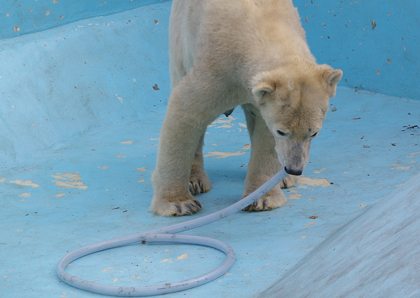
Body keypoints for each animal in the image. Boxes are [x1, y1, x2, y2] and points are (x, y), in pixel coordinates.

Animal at [151, 0, 342, 215]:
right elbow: (186, 113)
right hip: (181, 37)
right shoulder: (218, 69)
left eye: (314, 133)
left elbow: (264, 133)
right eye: (282, 131)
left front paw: (262, 198)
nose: (295, 168)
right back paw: (195, 180)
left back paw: (284, 180)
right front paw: (178, 202)